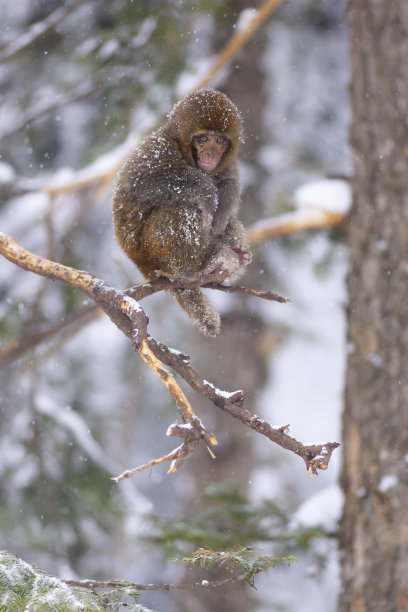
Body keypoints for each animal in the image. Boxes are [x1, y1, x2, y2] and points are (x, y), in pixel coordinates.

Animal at [112, 86, 252, 338]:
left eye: (220, 140)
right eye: (203, 139)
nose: (211, 154)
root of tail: (144, 269)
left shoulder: (227, 164)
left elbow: (229, 182)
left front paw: (220, 211)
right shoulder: (155, 149)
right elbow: (140, 182)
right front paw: (206, 190)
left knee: (227, 222)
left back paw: (230, 260)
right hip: (152, 253)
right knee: (179, 209)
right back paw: (197, 267)